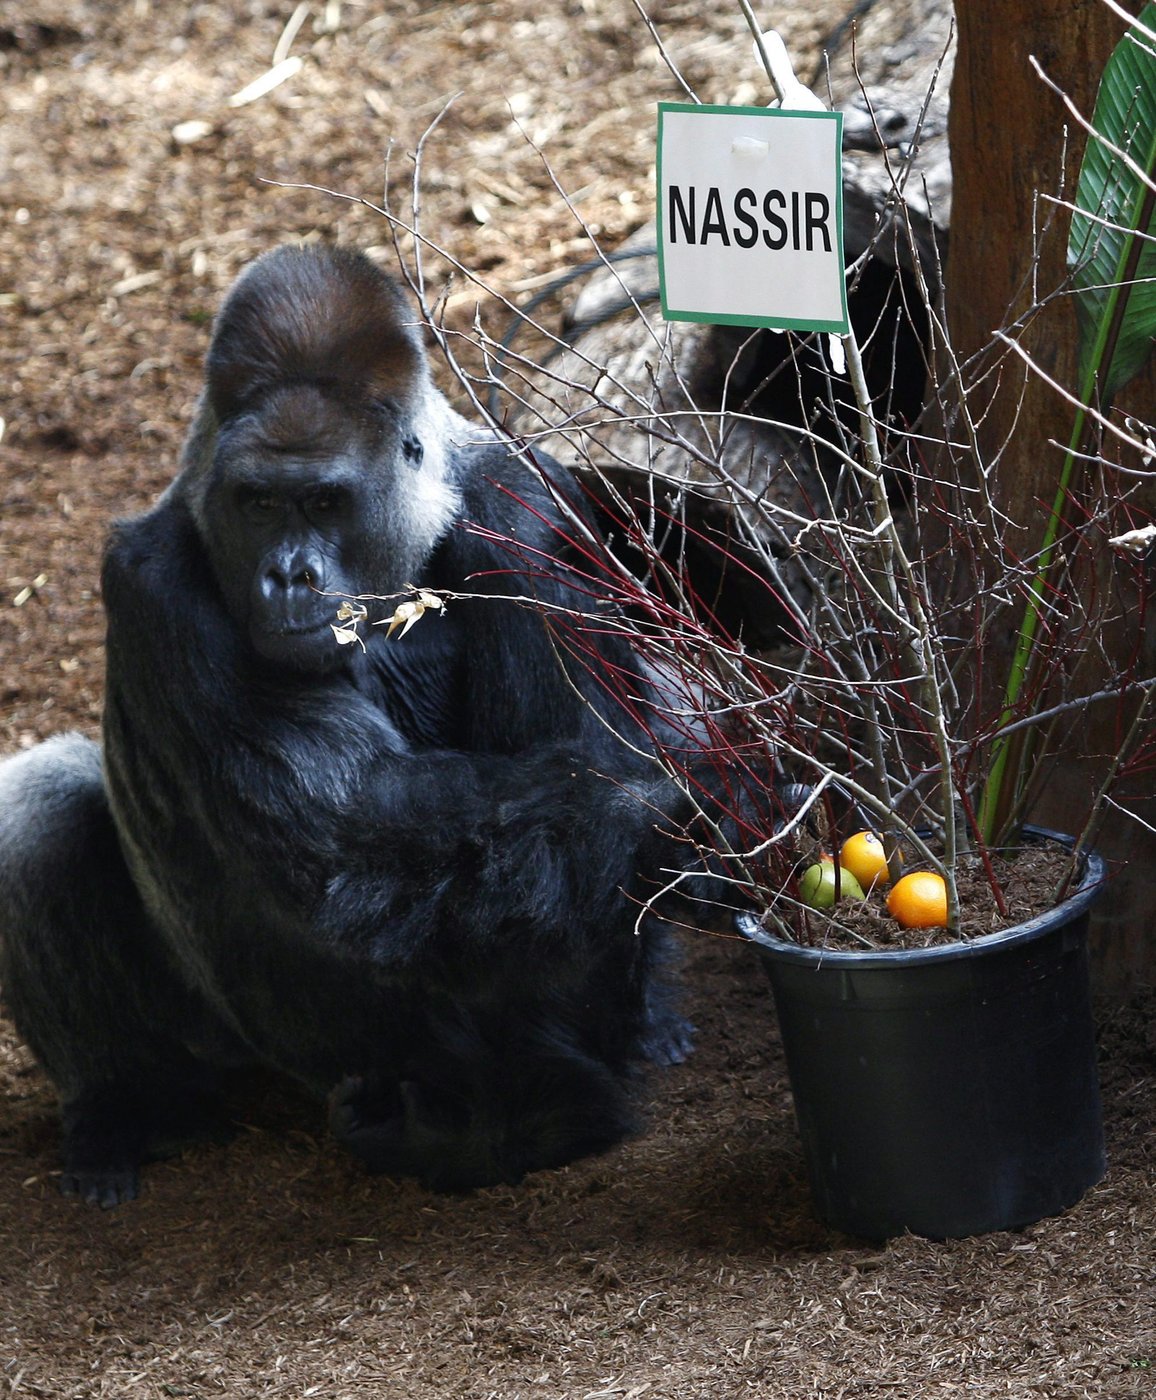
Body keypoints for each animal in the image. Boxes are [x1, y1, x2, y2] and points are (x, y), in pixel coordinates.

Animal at [0, 240, 702, 1204]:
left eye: (326, 502)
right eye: (259, 502)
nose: (289, 576)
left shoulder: (529, 511)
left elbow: (591, 747)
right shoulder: (154, 578)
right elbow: (351, 825)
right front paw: (671, 806)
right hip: (238, 1049)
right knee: (41, 811)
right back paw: (124, 1109)